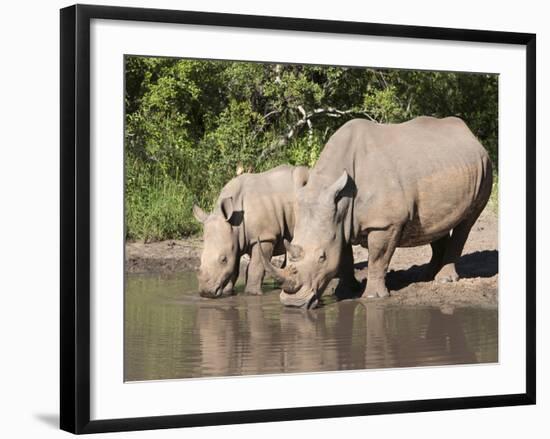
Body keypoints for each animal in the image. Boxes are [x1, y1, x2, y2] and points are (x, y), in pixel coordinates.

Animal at [194, 165, 310, 300]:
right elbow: (234, 268)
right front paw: (228, 293)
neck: (234, 223)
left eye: (223, 259)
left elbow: (256, 266)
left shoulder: (264, 237)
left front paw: (251, 293)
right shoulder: (235, 239)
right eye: (201, 259)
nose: (206, 292)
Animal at [264, 117, 496, 310]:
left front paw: (372, 297)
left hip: (486, 166)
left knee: (466, 224)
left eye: (322, 257)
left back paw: (444, 279)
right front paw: (346, 291)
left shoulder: (385, 223)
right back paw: (427, 275)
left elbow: (378, 257)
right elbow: (345, 257)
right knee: (436, 223)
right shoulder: (339, 221)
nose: (292, 304)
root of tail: (470, 135)